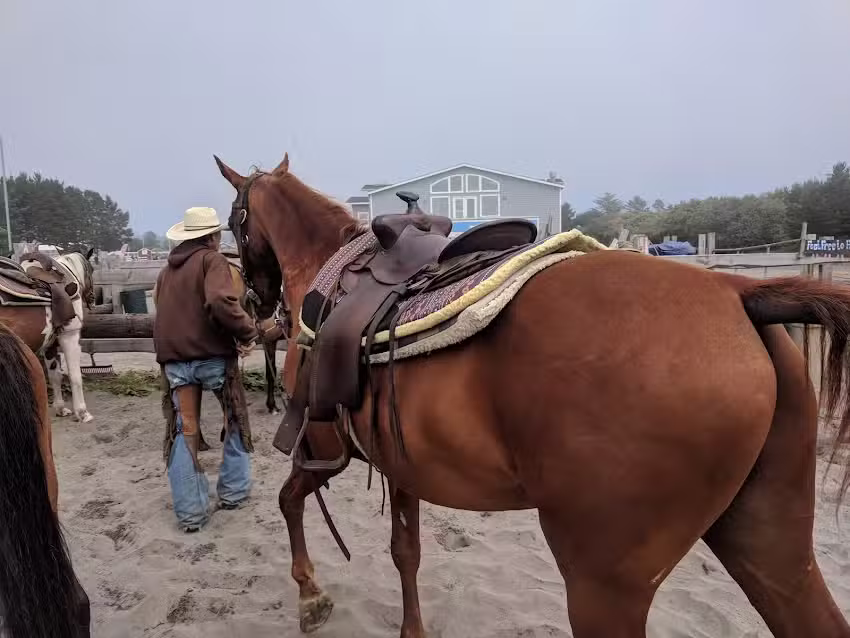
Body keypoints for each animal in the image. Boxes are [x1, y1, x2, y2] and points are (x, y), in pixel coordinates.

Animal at [215, 152, 850, 638]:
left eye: (235, 221)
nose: (254, 304)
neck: (328, 269)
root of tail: (738, 294)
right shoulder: (399, 465)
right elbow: (405, 551)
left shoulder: (325, 447)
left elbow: (289, 501)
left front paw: (309, 594)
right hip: (771, 547)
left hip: (604, 586)